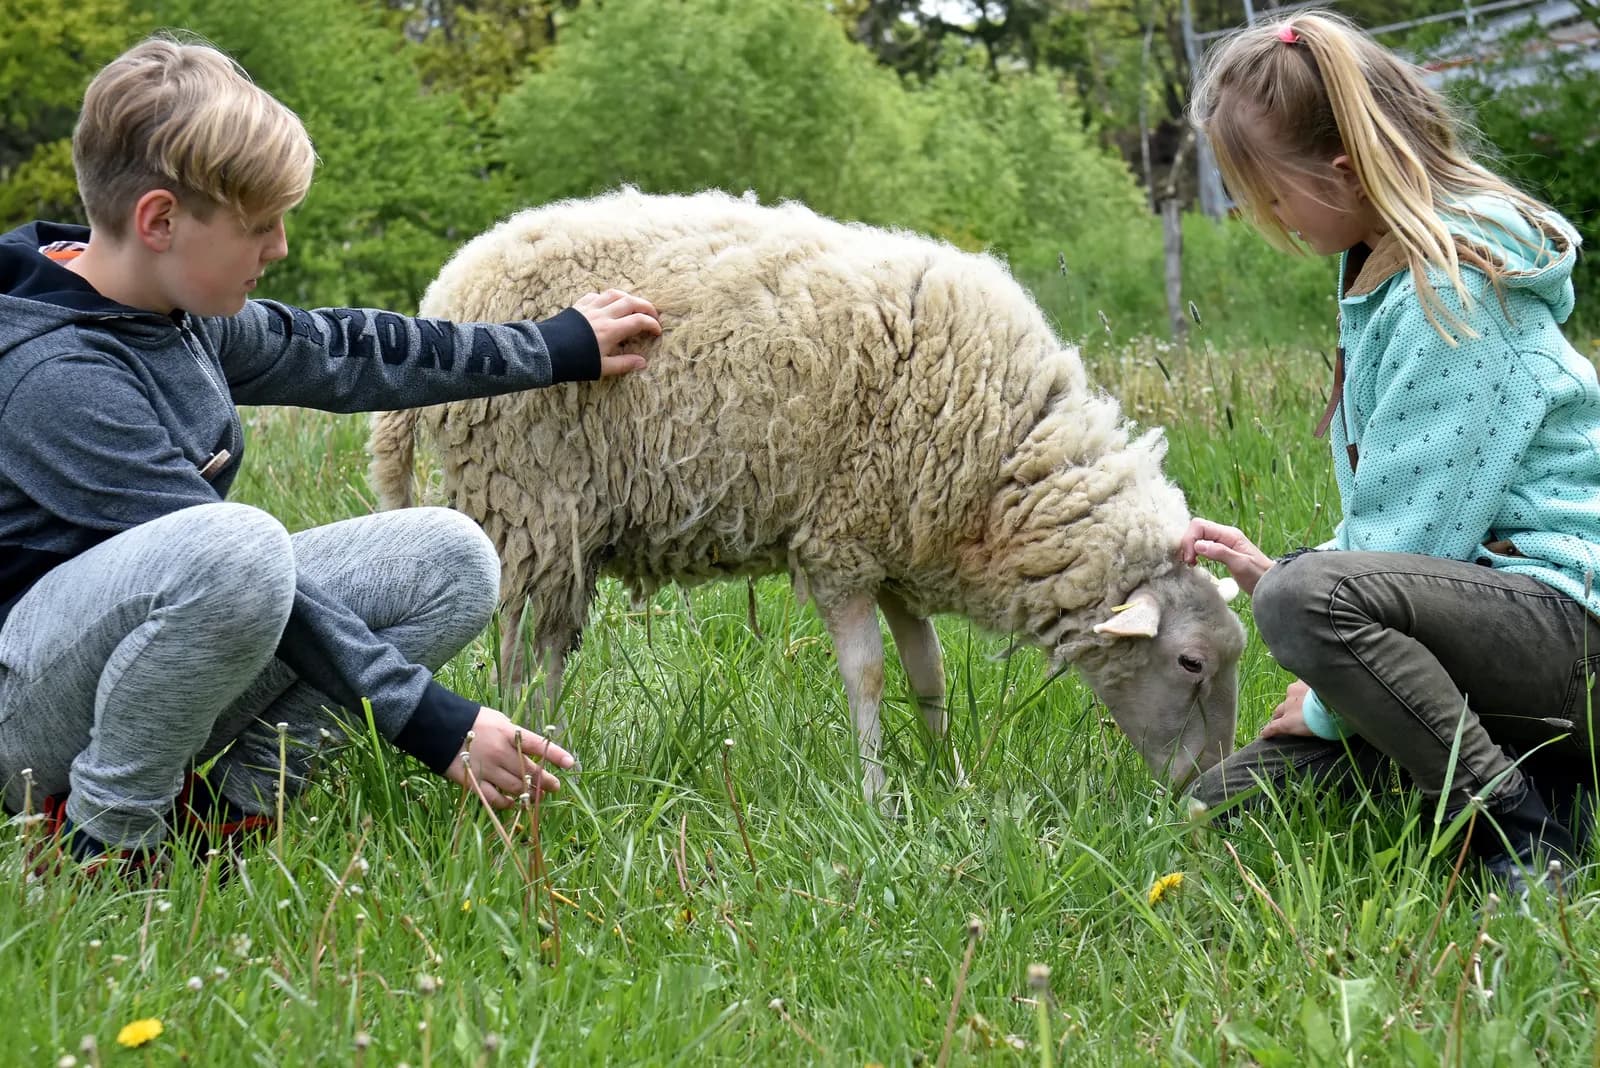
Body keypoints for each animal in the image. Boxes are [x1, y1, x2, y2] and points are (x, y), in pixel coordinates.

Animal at [369, 188, 1246, 800]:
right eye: (1191, 662)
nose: (1205, 786)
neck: (1008, 469)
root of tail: (442, 293)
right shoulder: (840, 545)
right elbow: (869, 676)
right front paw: (877, 798)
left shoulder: (900, 553)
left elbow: (927, 674)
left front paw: (949, 777)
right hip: (532, 502)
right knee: (520, 652)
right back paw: (525, 754)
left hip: (562, 525)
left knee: (548, 645)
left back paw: (555, 745)